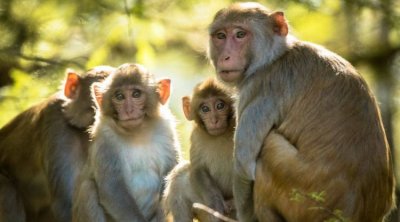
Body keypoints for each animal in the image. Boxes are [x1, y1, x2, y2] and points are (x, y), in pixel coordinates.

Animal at [73, 62, 181, 222]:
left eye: (136, 94)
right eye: (119, 96)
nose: (128, 110)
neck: (137, 134)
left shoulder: (167, 132)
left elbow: (170, 178)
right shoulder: (105, 139)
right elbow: (112, 189)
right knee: (88, 189)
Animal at [163, 77, 238, 221]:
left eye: (220, 106)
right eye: (205, 109)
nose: (214, 120)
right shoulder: (196, 136)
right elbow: (198, 169)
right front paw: (216, 205)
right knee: (180, 174)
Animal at [208, 2, 396, 222]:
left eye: (239, 34)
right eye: (221, 36)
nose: (225, 57)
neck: (276, 57)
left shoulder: (261, 86)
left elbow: (244, 167)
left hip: (303, 199)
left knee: (269, 147)